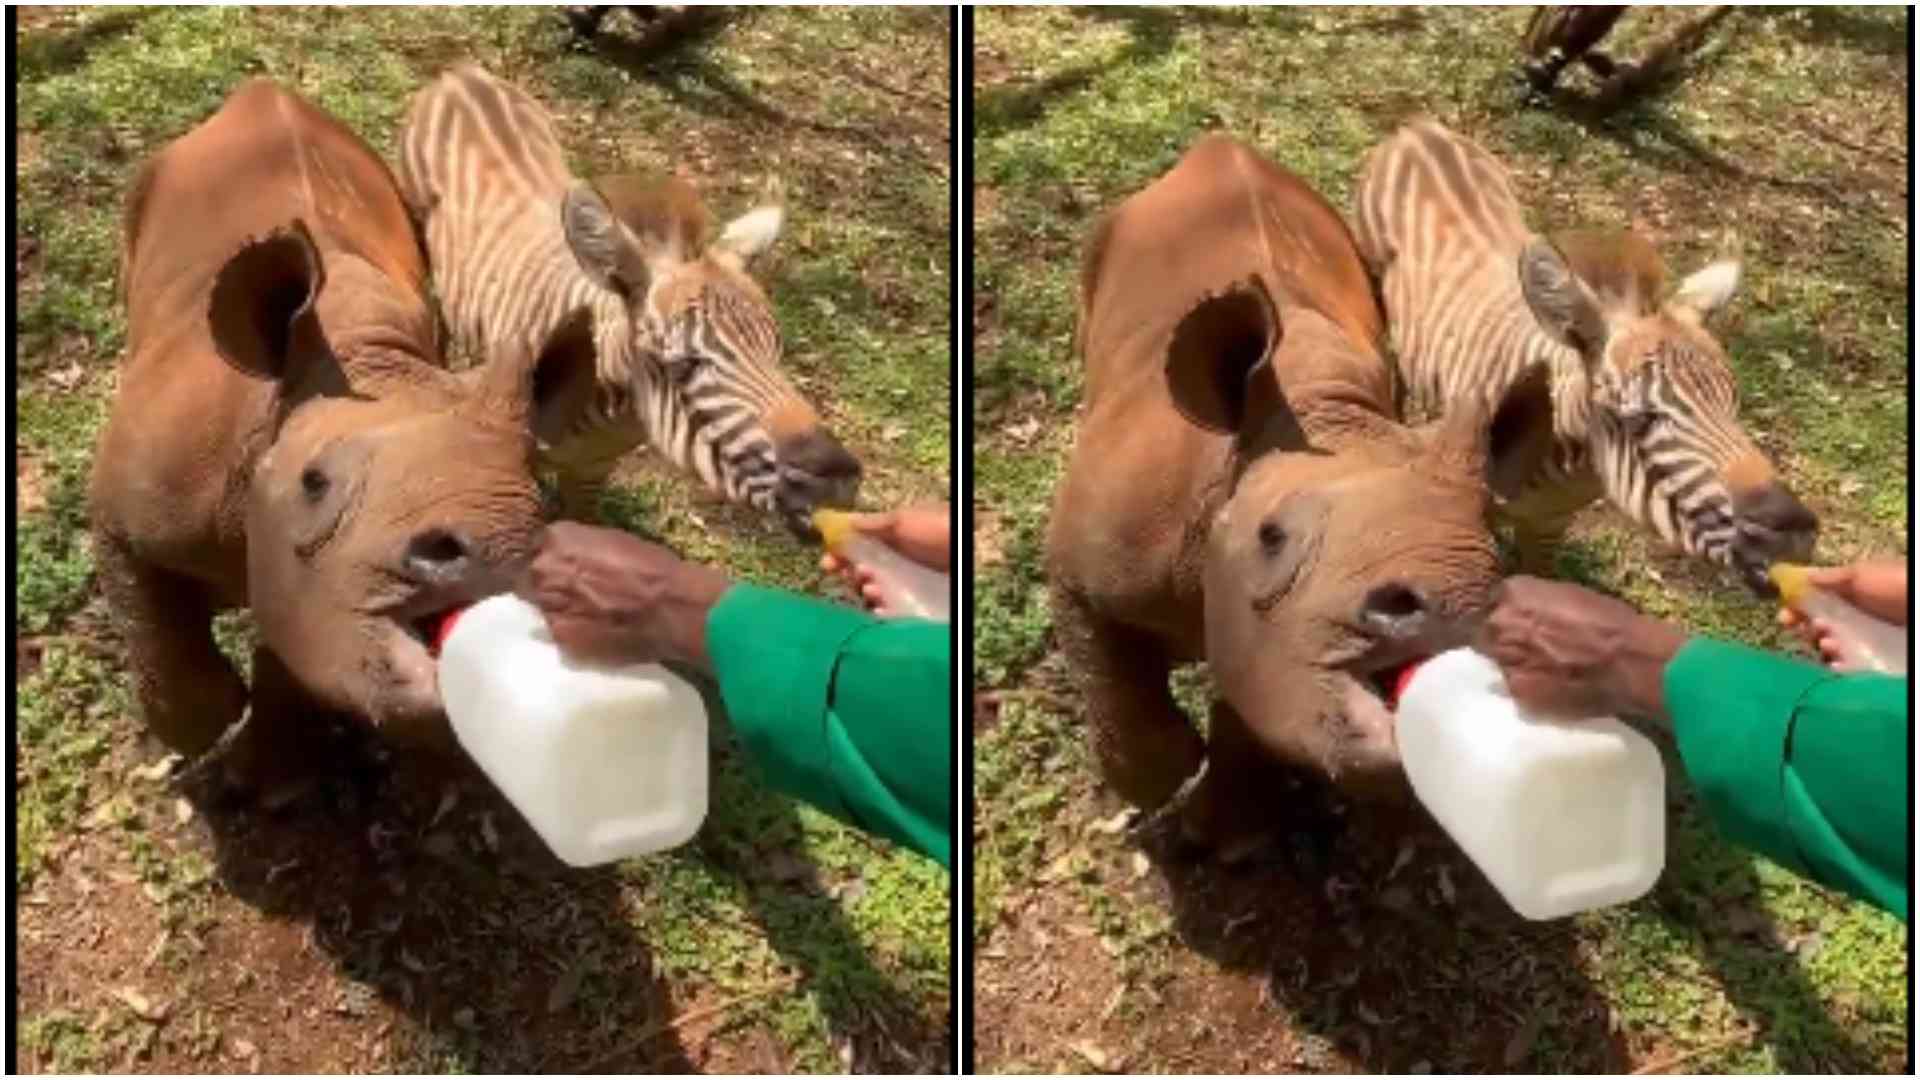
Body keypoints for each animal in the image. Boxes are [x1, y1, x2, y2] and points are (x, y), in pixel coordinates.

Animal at [90, 79, 552, 801]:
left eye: (540, 502)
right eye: (315, 483)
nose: (504, 549)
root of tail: (255, 93)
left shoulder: (307, 581)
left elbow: (293, 647)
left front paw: (274, 777)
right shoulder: (123, 507)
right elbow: (158, 626)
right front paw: (205, 731)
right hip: (159, 178)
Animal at [396, 63, 861, 530]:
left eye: (776, 351)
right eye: (682, 364)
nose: (837, 478)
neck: (605, 414)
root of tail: (462, 73)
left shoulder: (592, 471)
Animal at [1047, 134, 1559, 857]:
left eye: (1493, 552)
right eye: (1273, 537)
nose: (1459, 604)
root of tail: (1213, 148)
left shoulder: (1266, 631)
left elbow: (1250, 706)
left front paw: (1231, 835)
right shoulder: (1082, 564)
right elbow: (1114, 679)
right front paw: (1160, 787)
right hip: (1118, 231)